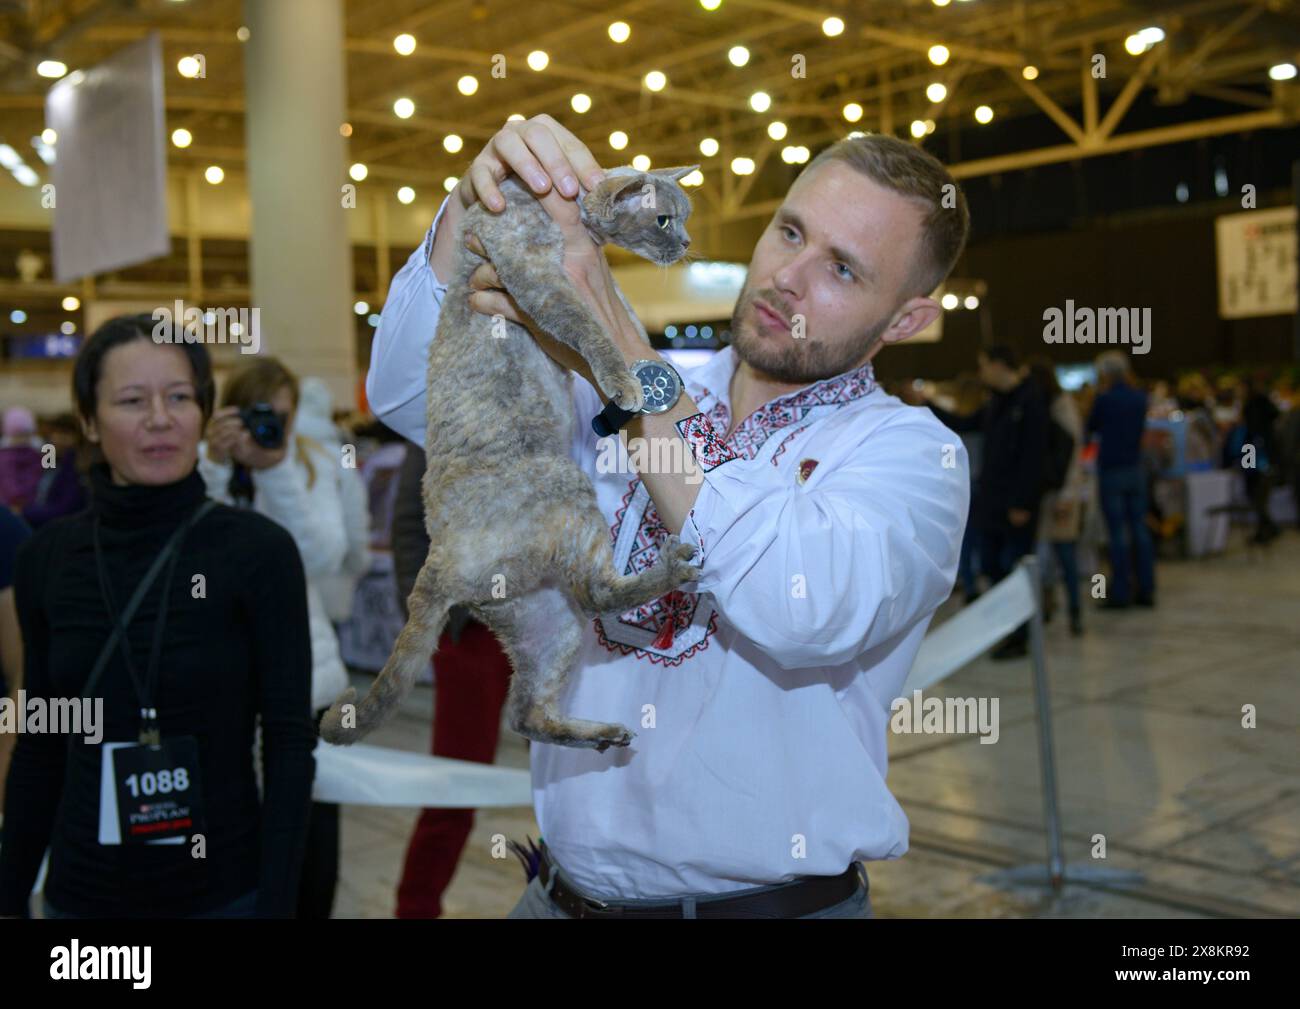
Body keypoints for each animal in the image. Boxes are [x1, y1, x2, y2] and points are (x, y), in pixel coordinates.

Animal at [322, 163, 702, 748]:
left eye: (683, 218)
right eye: (664, 219)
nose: (685, 242)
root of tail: (436, 562)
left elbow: (625, 314)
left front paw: (652, 356)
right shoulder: (532, 272)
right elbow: (588, 326)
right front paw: (625, 380)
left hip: (543, 616)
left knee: (526, 712)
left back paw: (597, 733)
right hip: (562, 488)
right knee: (595, 594)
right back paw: (669, 572)